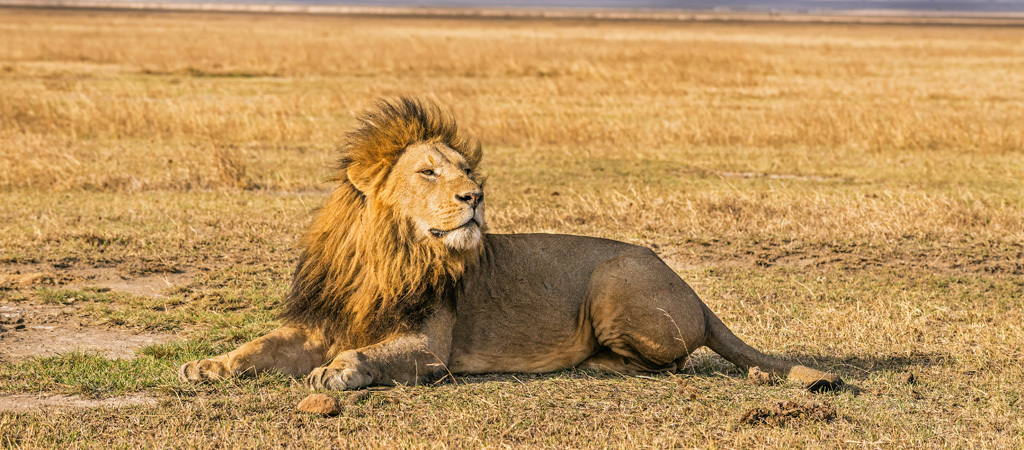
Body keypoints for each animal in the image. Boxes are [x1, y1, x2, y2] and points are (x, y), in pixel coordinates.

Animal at [179, 97, 842, 392]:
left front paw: (337, 373)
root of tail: (696, 292)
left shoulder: (429, 350)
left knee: (672, 361)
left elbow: (368, 356)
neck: (388, 255)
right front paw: (207, 364)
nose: (474, 195)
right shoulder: (321, 322)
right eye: (428, 172)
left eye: (466, 168)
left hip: (616, 277)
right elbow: (257, 347)